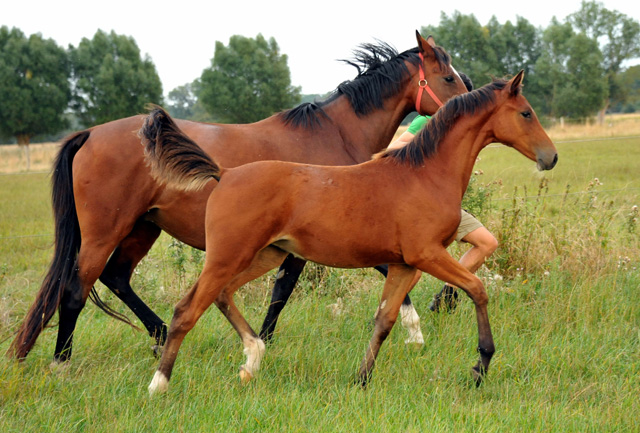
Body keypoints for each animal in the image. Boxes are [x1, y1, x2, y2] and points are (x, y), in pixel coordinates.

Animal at [11, 32, 470, 362]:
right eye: (448, 77)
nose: (467, 104)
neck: (334, 135)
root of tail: (89, 133)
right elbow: (292, 290)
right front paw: (418, 326)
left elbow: (287, 292)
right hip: (105, 231)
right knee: (76, 290)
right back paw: (63, 362)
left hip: (143, 228)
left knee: (117, 278)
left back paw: (161, 336)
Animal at [140, 69, 556, 394]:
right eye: (526, 113)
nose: (550, 157)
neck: (425, 174)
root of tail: (224, 174)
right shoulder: (427, 254)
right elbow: (477, 289)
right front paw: (480, 366)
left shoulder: (404, 264)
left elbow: (385, 320)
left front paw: (361, 379)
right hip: (228, 255)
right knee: (187, 310)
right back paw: (159, 384)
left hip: (267, 254)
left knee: (223, 295)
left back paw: (252, 361)